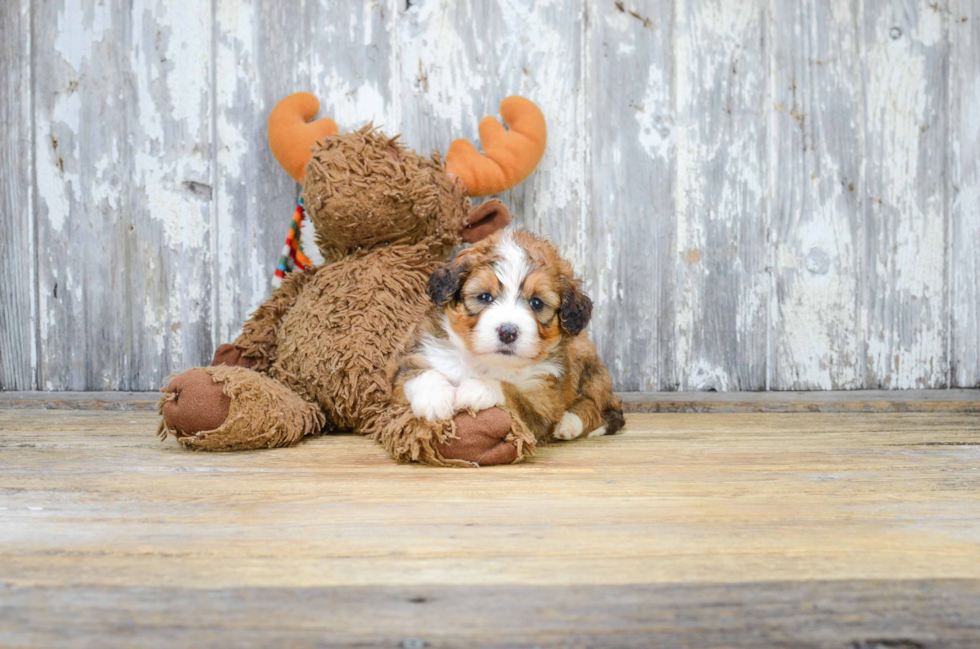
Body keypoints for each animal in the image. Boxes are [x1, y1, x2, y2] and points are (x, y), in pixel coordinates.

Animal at [388, 225, 620, 442]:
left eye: (536, 303)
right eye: (484, 297)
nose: (508, 332)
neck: (487, 362)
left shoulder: (542, 403)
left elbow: (512, 392)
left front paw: (478, 388)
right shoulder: (417, 359)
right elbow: (417, 373)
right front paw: (434, 399)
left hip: (588, 364)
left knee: (603, 408)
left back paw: (569, 423)